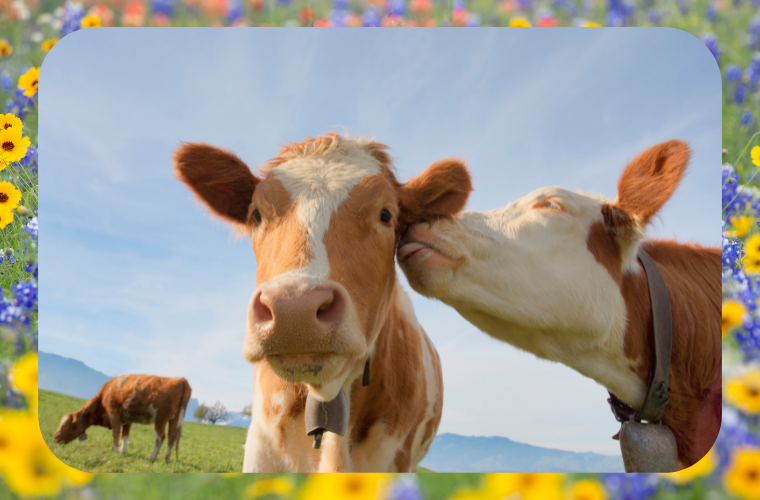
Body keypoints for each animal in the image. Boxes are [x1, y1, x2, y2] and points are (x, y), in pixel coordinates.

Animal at [53, 375, 192, 464]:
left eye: (66, 425)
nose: (55, 436)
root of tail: (180, 379)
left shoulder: (113, 413)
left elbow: (116, 432)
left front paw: (114, 449)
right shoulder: (127, 418)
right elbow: (125, 434)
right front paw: (123, 450)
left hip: (160, 418)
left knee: (160, 437)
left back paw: (152, 457)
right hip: (174, 419)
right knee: (171, 438)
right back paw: (167, 459)